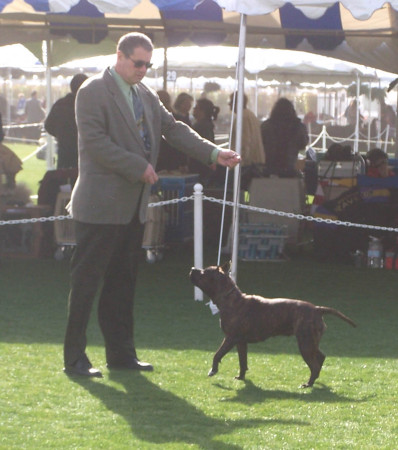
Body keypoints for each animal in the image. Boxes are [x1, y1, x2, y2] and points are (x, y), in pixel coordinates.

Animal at [188, 262, 356, 388]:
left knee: (314, 364)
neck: (230, 299)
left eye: (204, 272)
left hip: (305, 345)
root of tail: (317, 309)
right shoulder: (241, 342)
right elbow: (243, 362)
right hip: (310, 343)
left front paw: (213, 370)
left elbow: (217, 354)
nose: (192, 268)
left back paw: (308, 384)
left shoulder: (230, 339)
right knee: (321, 357)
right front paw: (241, 377)